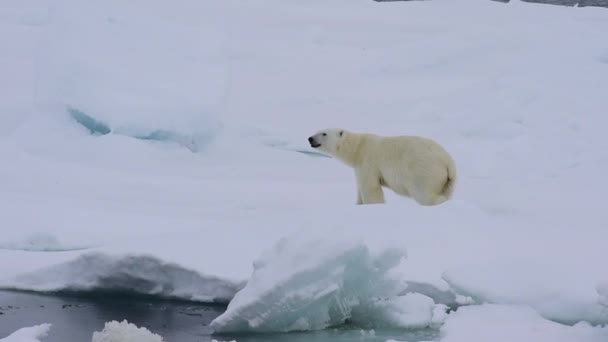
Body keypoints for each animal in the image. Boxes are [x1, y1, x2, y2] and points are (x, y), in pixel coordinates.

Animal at [308, 128, 456, 206]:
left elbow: (370, 188)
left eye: (324, 133)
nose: (310, 138)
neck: (358, 148)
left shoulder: (368, 161)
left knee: (424, 194)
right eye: (317, 130)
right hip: (448, 181)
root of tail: (448, 162)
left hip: (424, 171)